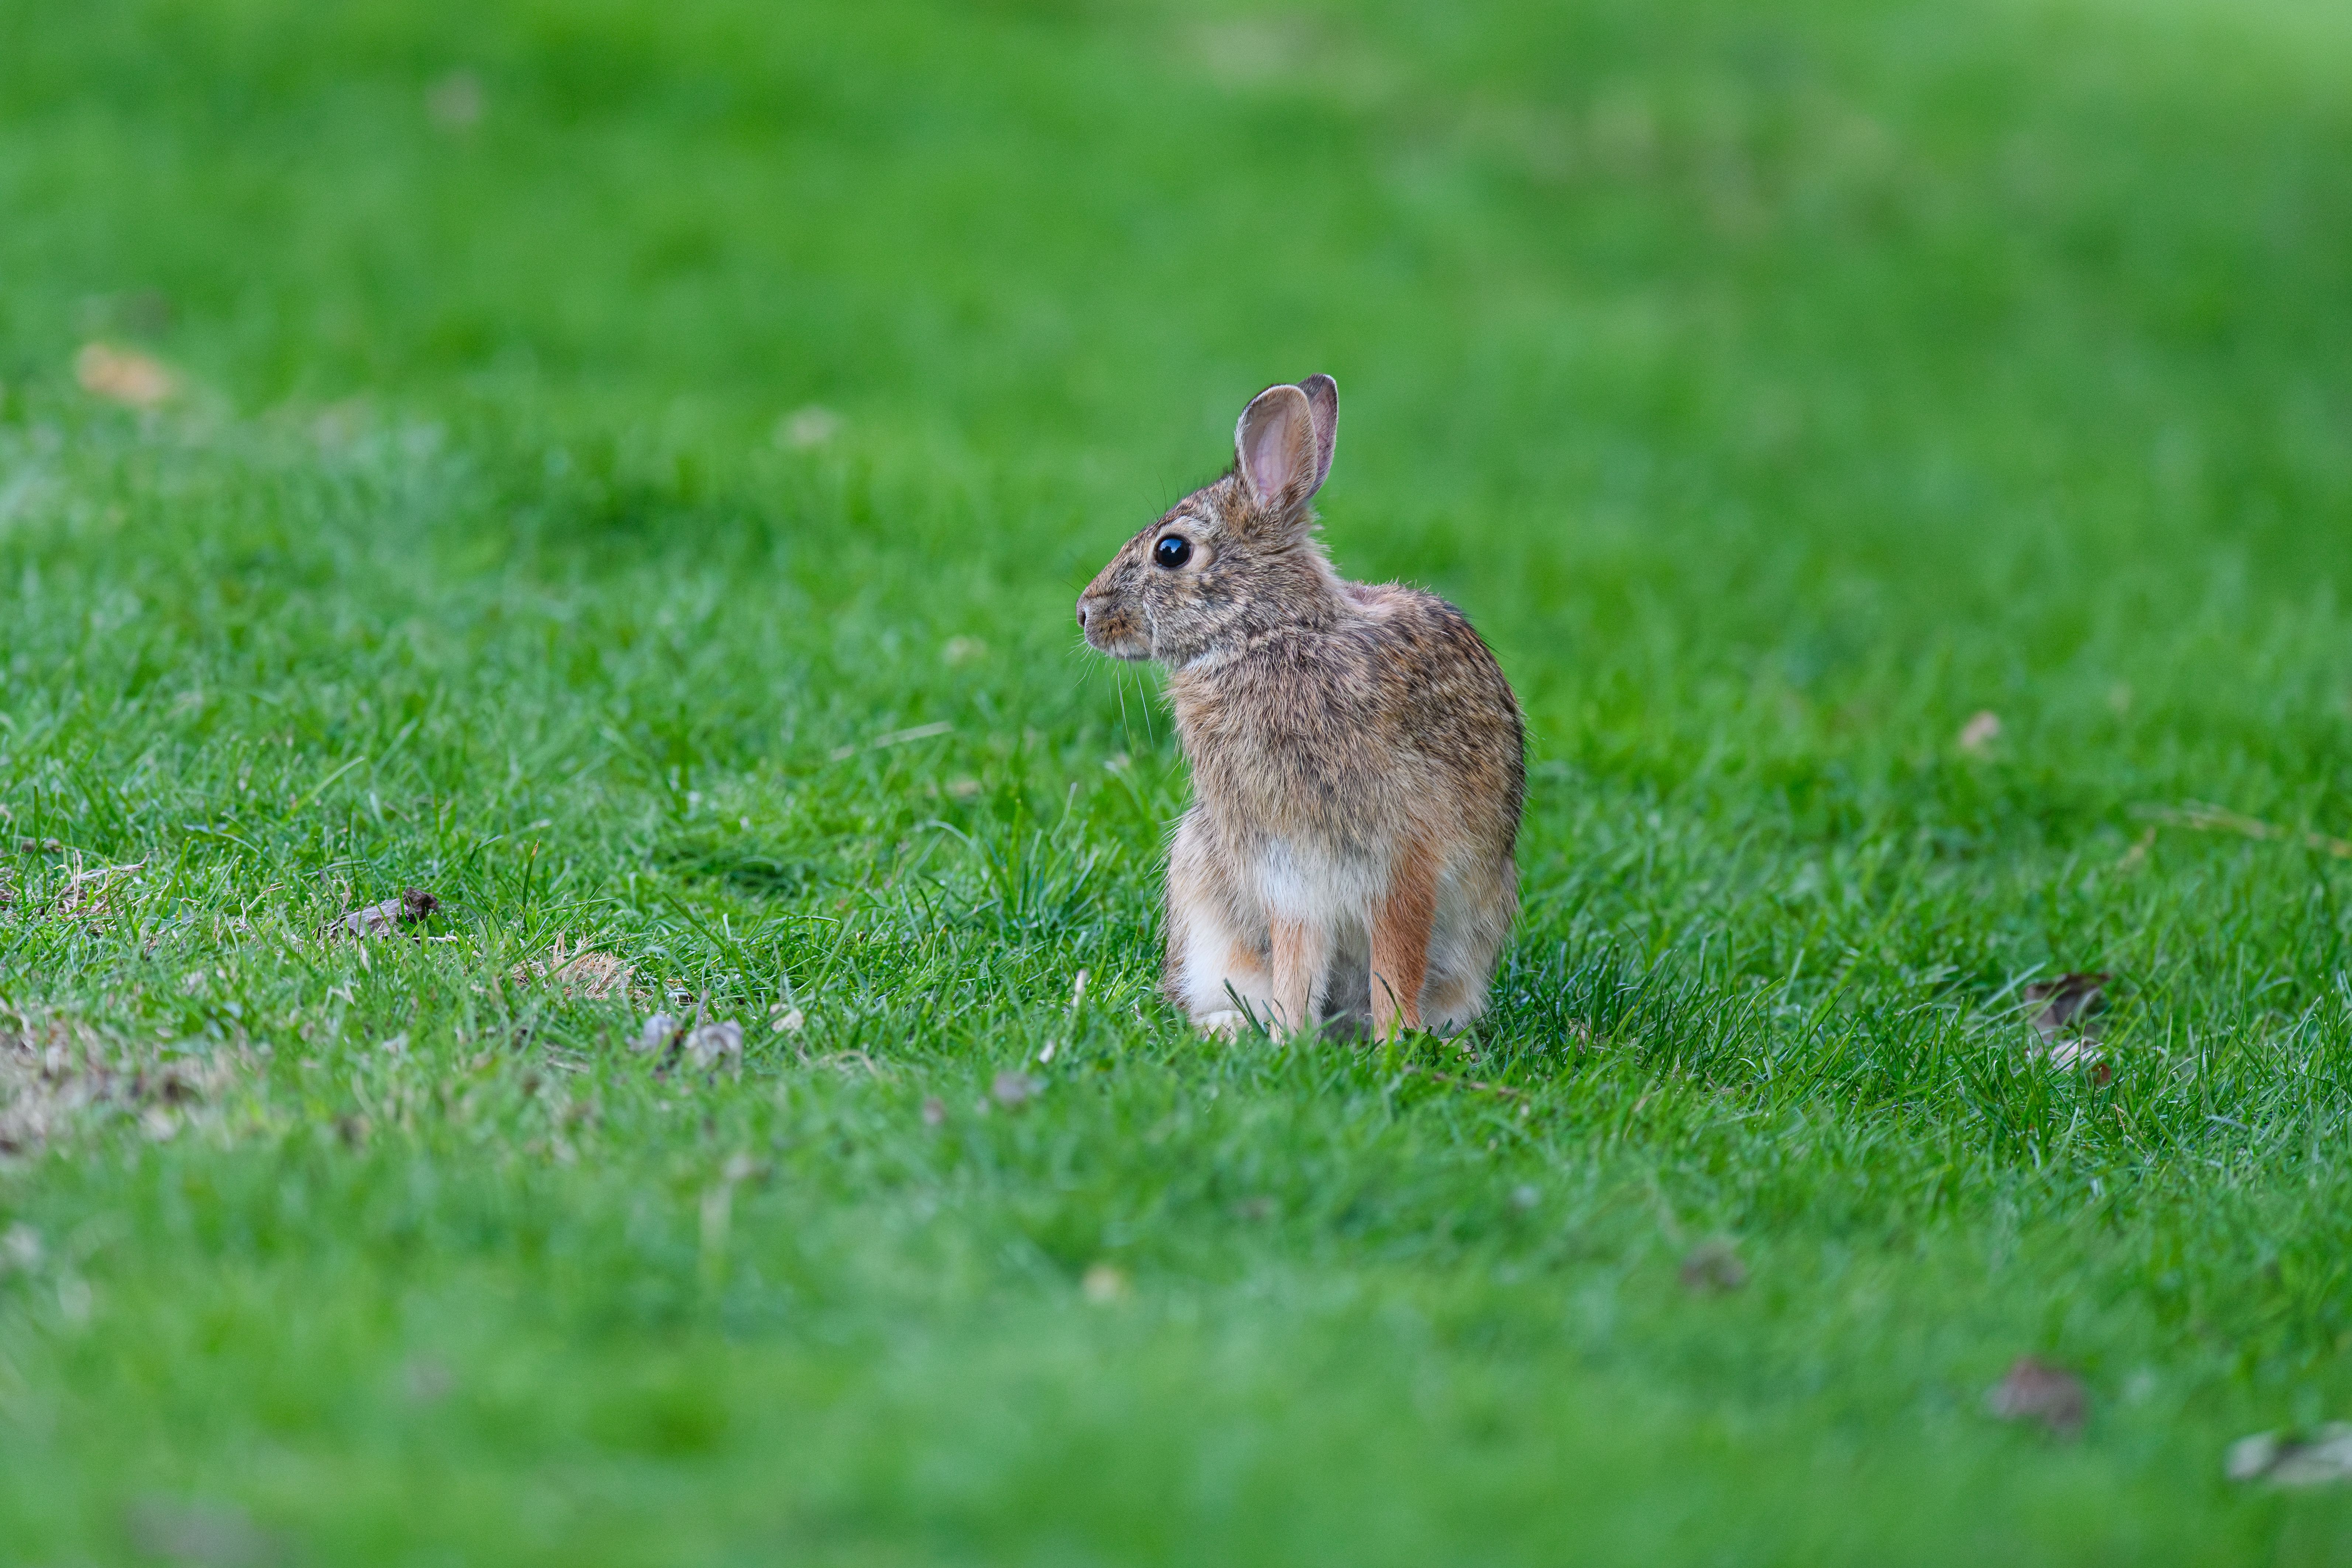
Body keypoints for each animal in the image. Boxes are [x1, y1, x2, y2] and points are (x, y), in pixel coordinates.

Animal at [1075, 375, 1523, 1041]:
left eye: (1172, 550)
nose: (1085, 613)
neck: (1271, 634)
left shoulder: (1401, 858)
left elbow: (1395, 957)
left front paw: (1393, 1042)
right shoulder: (1285, 869)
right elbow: (1297, 955)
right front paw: (1291, 1038)